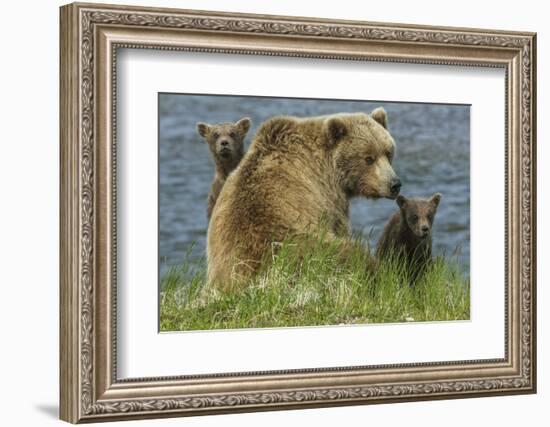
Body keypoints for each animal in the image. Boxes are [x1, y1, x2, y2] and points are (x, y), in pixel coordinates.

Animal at [207, 108, 402, 292]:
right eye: (368, 158)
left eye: (388, 152)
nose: (394, 184)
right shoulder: (328, 198)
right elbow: (340, 227)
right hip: (302, 250)